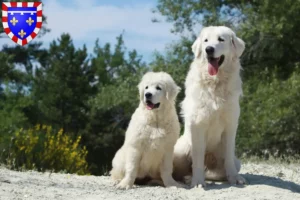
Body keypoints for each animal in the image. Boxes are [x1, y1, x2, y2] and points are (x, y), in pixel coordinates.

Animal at [173, 26, 246, 188]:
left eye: (221, 39)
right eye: (206, 40)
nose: (209, 49)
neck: (215, 82)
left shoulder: (231, 124)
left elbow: (229, 157)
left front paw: (234, 178)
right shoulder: (198, 125)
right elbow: (198, 158)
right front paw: (197, 182)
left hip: (234, 162)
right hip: (179, 151)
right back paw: (189, 179)